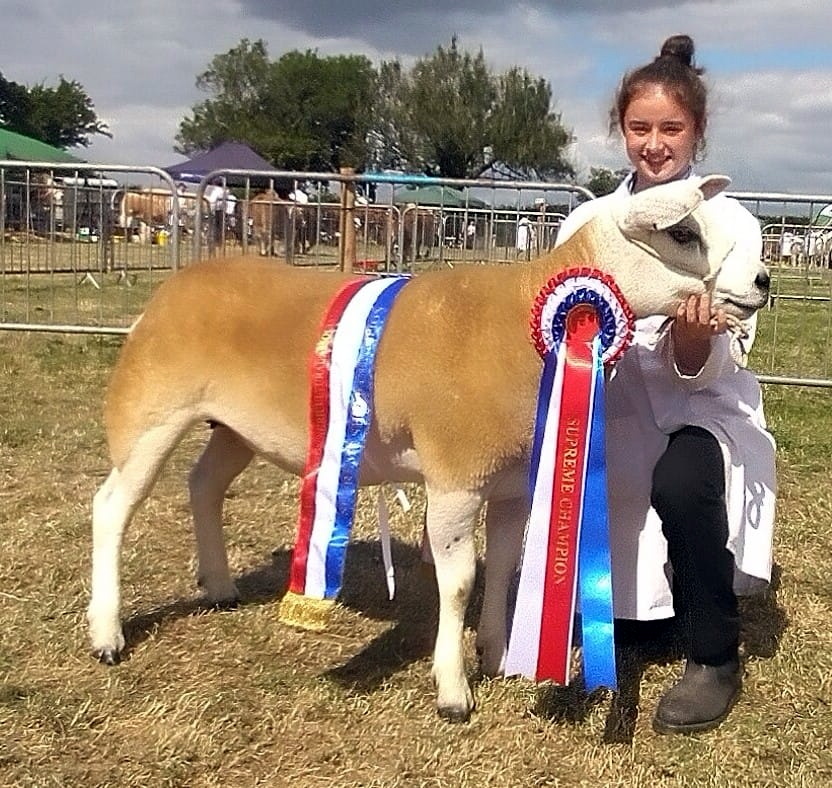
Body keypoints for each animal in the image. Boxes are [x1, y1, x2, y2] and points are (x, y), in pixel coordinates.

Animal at [86, 174, 771, 721]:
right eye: (682, 232)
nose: (762, 281)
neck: (524, 321)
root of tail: (178, 284)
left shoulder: (510, 483)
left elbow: (503, 567)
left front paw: (496, 654)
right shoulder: (456, 477)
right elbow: (461, 582)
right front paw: (452, 689)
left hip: (234, 428)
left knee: (203, 485)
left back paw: (221, 586)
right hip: (151, 412)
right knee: (113, 506)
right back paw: (107, 633)